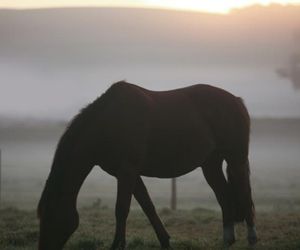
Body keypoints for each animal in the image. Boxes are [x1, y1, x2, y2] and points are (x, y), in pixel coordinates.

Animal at [37, 81, 258, 249]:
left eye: (50, 218)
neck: (109, 123)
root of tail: (236, 100)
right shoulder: (129, 174)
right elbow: (148, 206)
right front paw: (165, 241)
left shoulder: (127, 172)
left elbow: (121, 210)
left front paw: (117, 246)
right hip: (210, 165)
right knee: (224, 197)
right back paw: (227, 241)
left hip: (236, 159)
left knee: (245, 193)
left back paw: (252, 239)